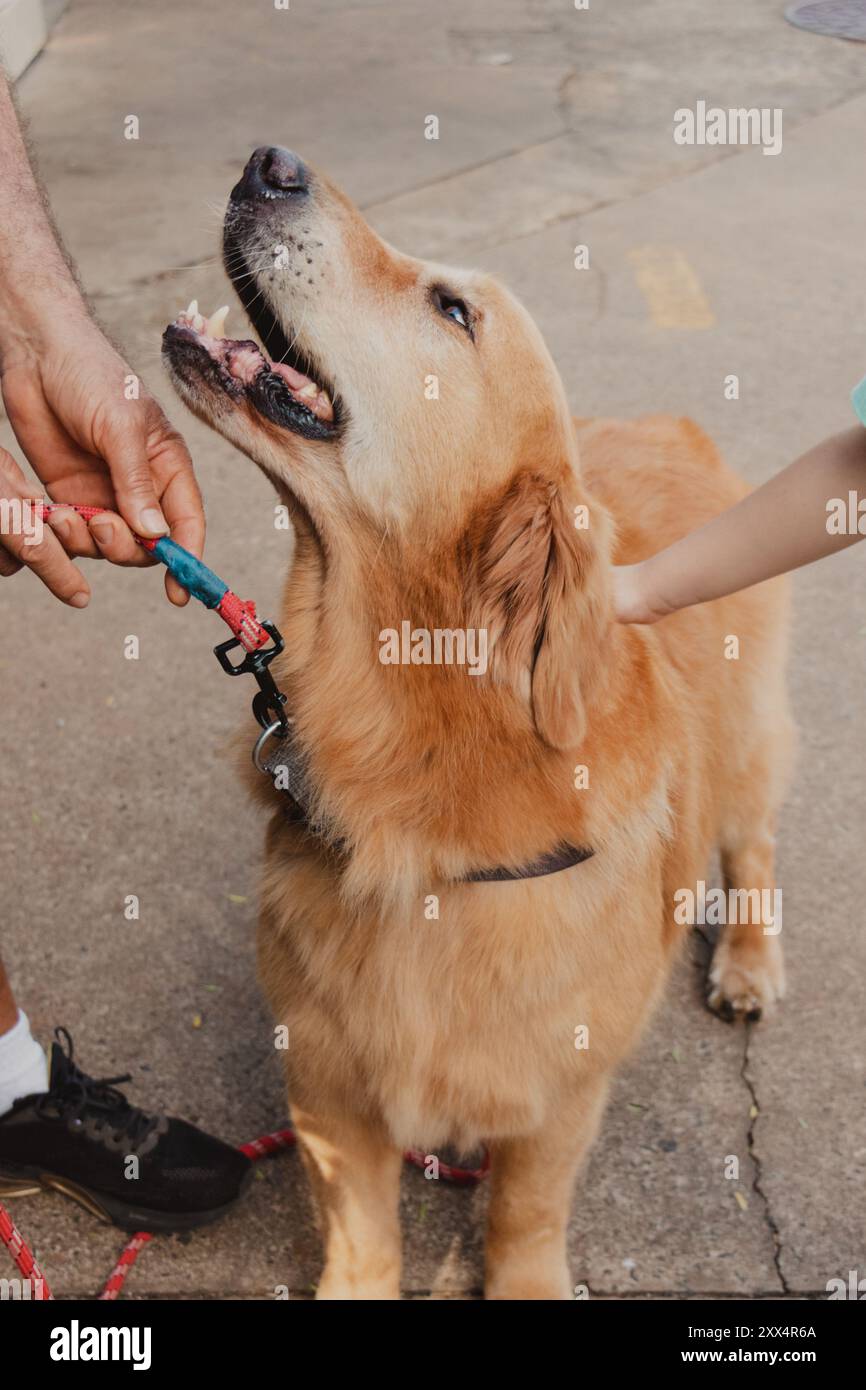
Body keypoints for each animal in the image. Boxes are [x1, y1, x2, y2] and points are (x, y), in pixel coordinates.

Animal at [161, 146, 795, 1295]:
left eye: (451, 309)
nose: (270, 162)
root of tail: (673, 423)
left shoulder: (558, 1094)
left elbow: (526, 1212)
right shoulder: (328, 1089)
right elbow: (362, 1234)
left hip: (745, 740)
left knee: (753, 842)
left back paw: (747, 962)